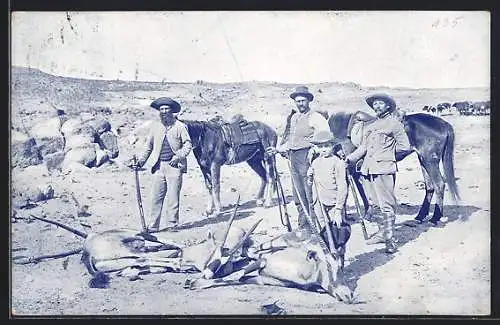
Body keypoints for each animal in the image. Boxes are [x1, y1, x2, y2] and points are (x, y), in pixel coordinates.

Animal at [328, 110, 460, 224]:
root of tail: (444, 124)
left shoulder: (351, 169)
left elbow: (358, 193)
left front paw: (361, 216)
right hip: (423, 160)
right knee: (430, 186)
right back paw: (420, 216)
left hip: (430, 161)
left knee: (439, 184)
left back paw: (435, 217)